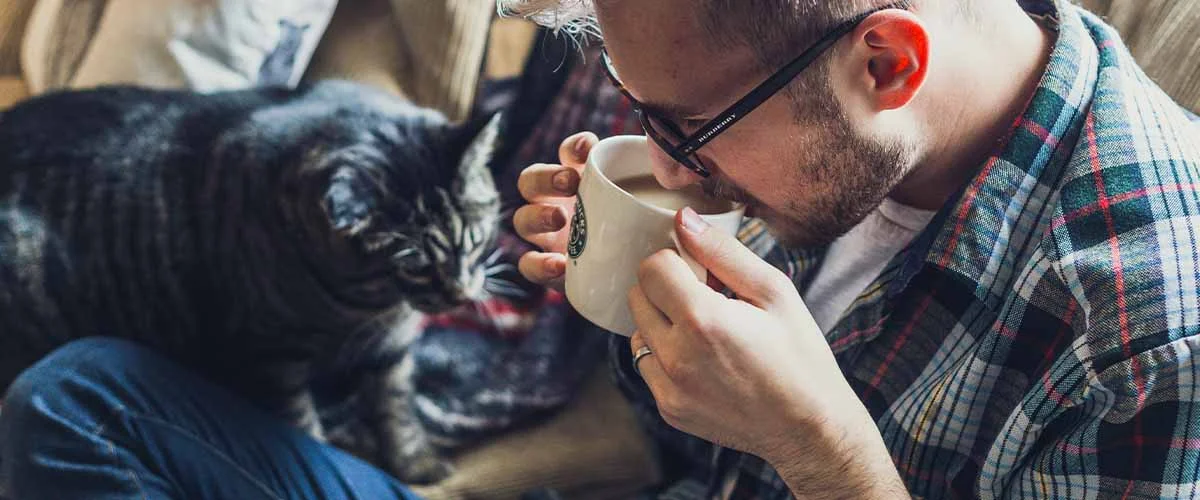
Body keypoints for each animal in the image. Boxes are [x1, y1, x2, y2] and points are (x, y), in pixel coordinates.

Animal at [0, 81, 501, 484]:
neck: (367, 307)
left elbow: (397, 408)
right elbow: (304, 428)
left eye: (475, 239)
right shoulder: (271, 360)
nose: (460, 292)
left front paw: (417, 464)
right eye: (414, 266)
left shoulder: (391, 350)